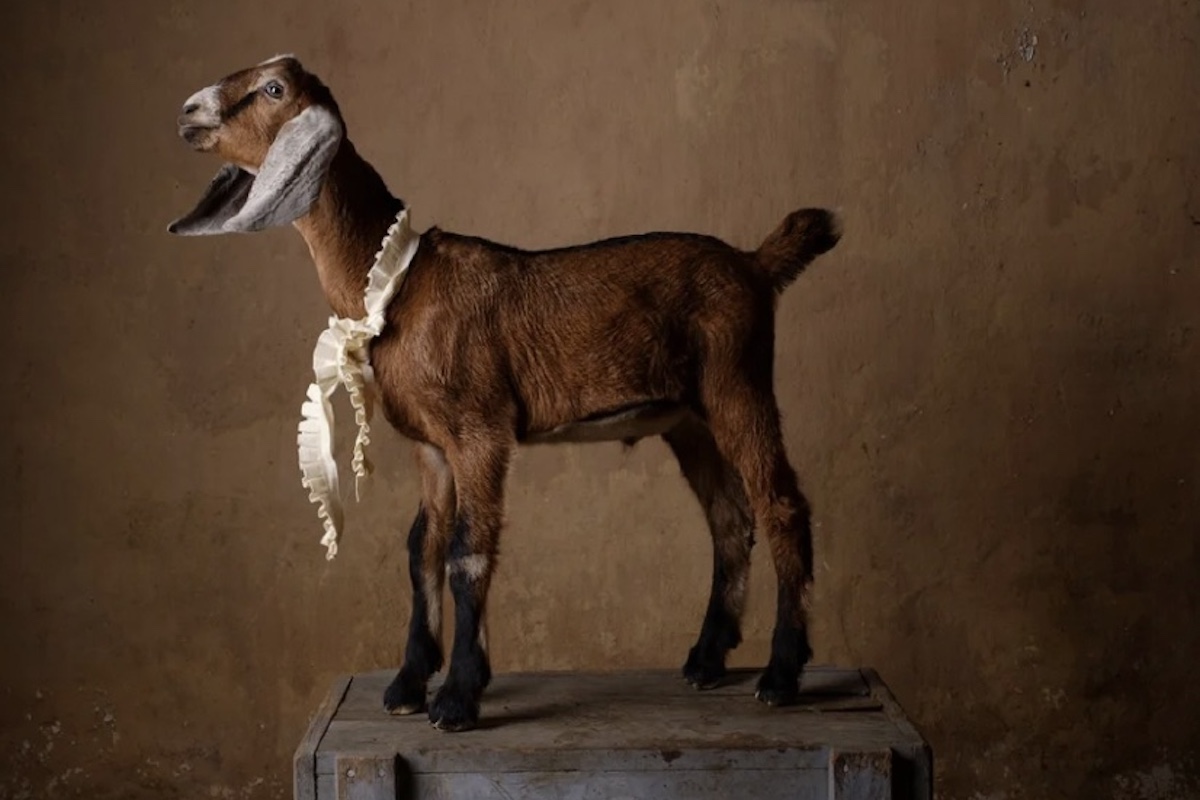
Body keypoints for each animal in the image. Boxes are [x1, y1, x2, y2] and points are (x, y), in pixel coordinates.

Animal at [168, 55, 840, 732]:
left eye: (273, 88)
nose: (188, 112)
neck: (398, 282)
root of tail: (755, 264)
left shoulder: (480, 430)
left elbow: (468, 550)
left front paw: (458, 696)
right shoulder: (432, 447)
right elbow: (423, 545)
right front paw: (410, 682)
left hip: (738, 384)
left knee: (781, 505)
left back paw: (781, 674)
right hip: (688, 419)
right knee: (729, 517)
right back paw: (706, 659)